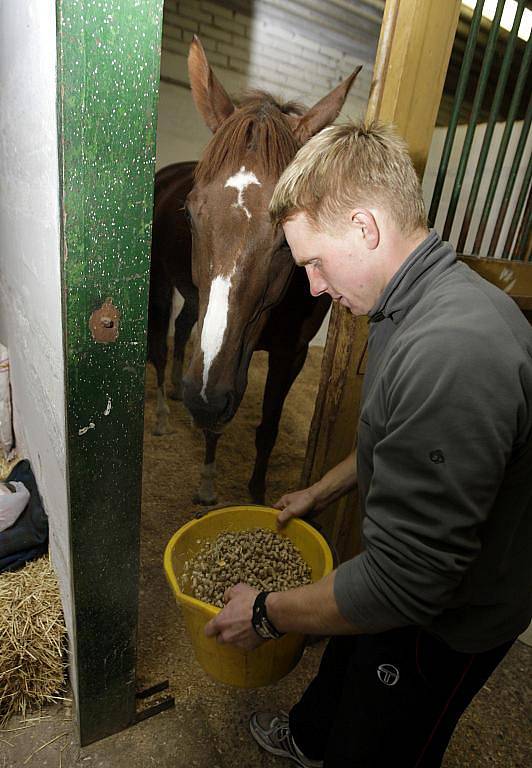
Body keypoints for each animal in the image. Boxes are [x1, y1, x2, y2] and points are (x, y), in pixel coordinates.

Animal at [148, 37, 360, 504]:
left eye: (289, 233)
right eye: (189, 213)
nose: (203, 398)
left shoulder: (291, 355)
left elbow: (269, 429)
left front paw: (258, 494)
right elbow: (216, 427)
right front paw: (208, 486)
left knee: (184, 327)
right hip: (159, 285)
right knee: (159, 346)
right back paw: (164, 413)